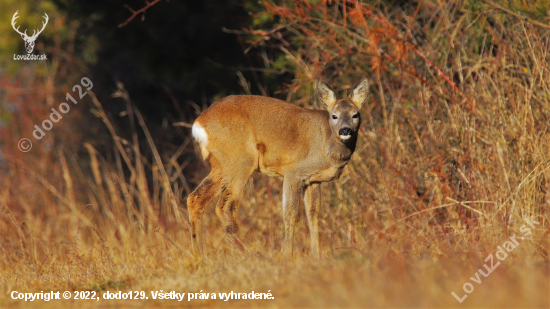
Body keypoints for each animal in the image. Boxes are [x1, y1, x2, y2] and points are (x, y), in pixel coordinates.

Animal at [188, 78, 374, 256]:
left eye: (355, 115)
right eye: (334, 116)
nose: (345, 130)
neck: (326, 144)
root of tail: (198, 124)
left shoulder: (313, 180)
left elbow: (313, 214)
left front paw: (316, 256)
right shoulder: (293, 172)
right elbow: (290, 213)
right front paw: (287, 255)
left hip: (221, 165)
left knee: (195, 199)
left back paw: (200, 257)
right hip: (241, 160)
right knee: (225, 206)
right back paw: (251, 255)